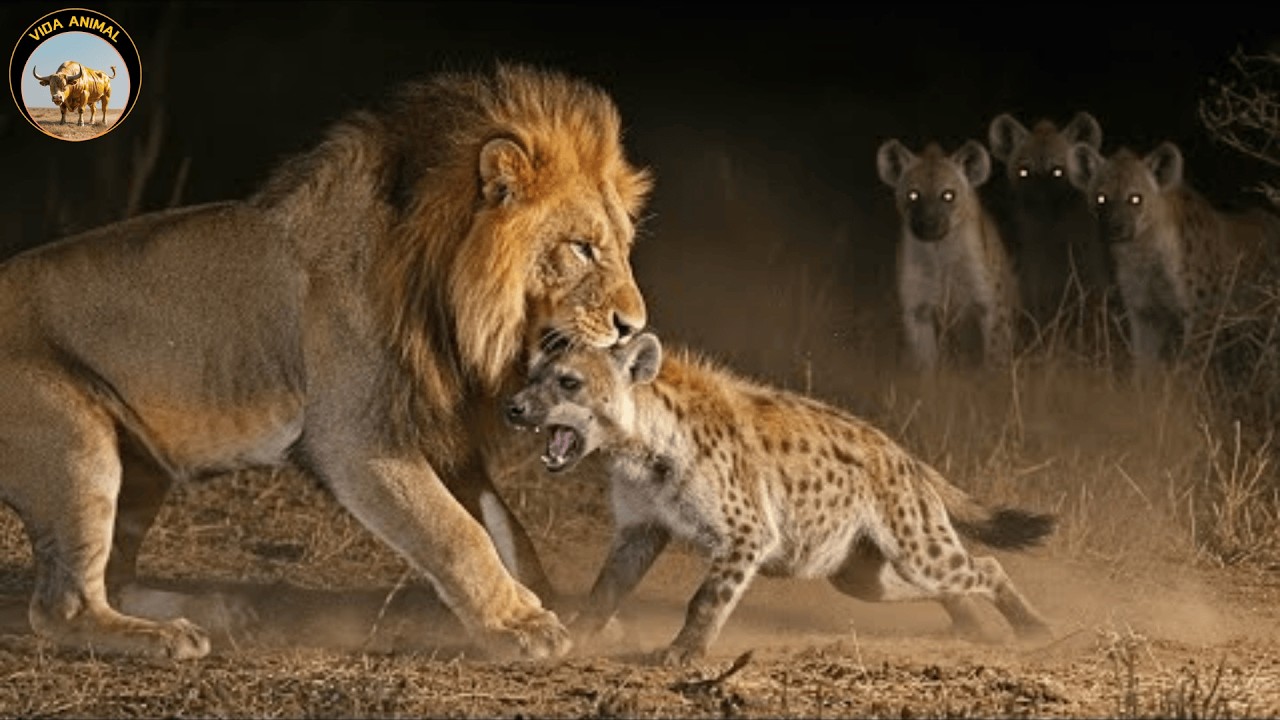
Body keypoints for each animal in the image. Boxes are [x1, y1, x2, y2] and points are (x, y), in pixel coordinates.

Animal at [0, 63, 652, 660]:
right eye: (582, 248)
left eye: (620, 247)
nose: (634, 326)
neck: (443, 289)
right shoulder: (353, 438)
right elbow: (454, 533)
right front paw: (522, 626)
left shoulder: (439, 431)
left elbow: (506, 530)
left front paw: (570, 612)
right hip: (77, 445)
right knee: (62, 606)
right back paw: (165, 637)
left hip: (139, 467)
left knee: (113, 577)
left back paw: (217, 609)